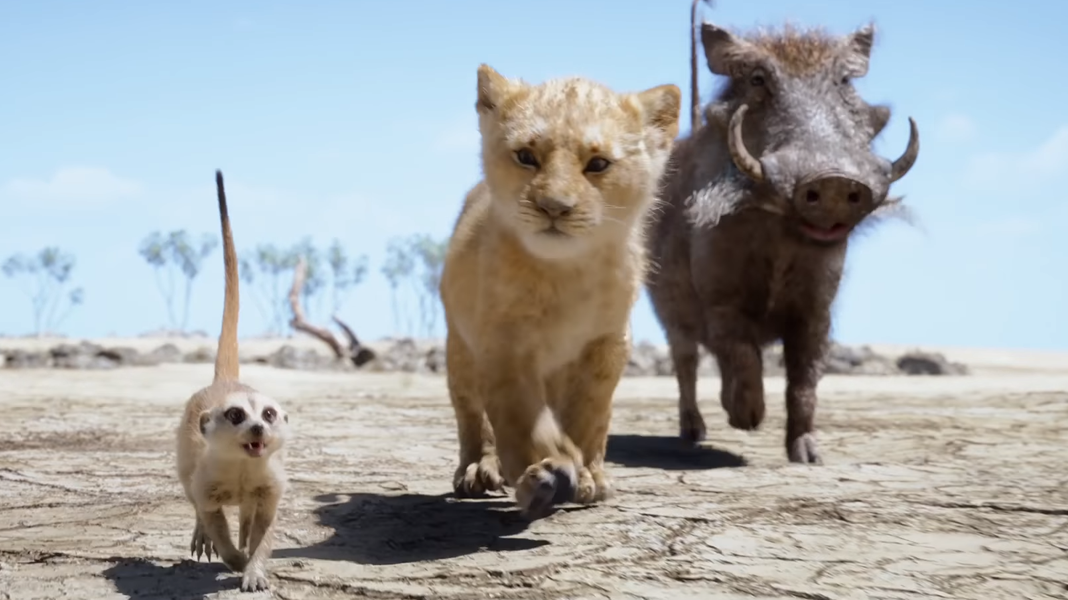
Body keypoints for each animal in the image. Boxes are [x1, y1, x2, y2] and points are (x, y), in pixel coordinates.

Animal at [439, 64, 680, 518]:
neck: (567, 272)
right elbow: (522, 415)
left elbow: (590, 415)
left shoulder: (608, 343)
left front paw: (587, 477)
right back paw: (479, 470)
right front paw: (545, 473)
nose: (554, 206)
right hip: (459, 351)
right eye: (526, 156)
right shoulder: (504, 342)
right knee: (474, 418)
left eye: (598, 164)